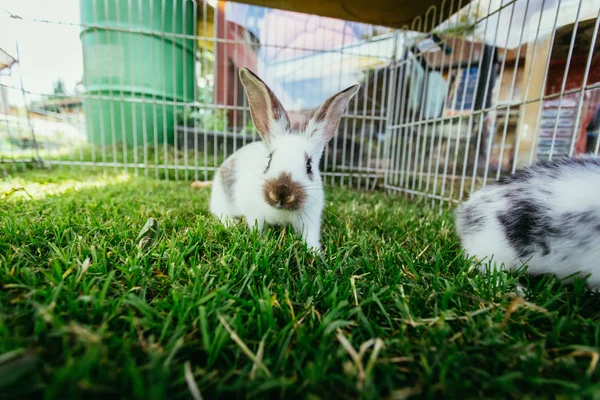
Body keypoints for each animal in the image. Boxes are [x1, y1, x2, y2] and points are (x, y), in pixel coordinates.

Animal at [210, 67, 358, 252]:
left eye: (309, 165)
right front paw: (262, 242)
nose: (281, 193)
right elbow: (257, 228)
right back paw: (232, 223)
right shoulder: (254, 214)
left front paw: (316, 253)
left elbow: (310, 237)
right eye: (269, 160)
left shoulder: (310, 219)